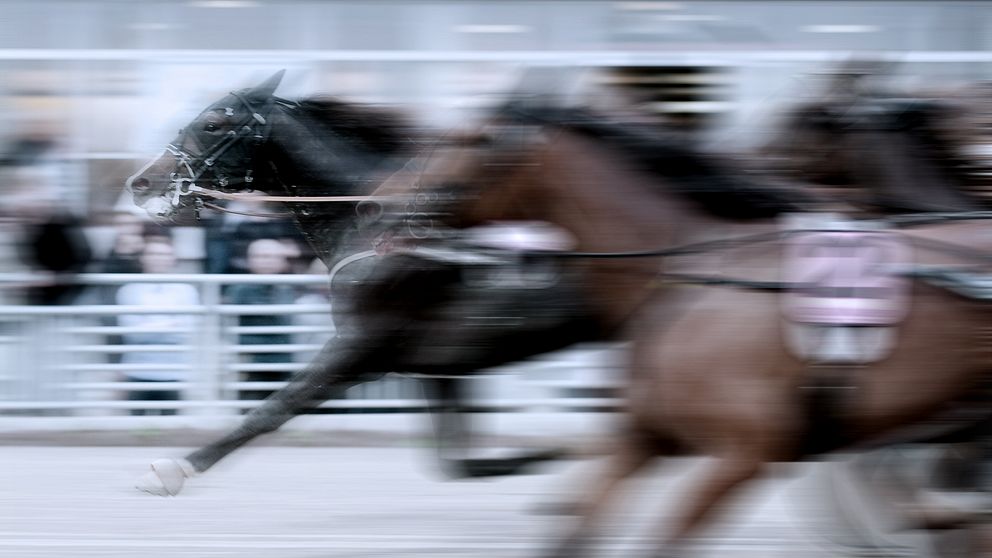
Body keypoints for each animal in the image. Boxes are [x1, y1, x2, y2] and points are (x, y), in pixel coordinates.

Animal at [370, 103, 992, 556]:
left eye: (463, 141)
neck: (692, 279)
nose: (377, 202)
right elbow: (578, 529)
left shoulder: (745, 455)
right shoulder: (647, 436)